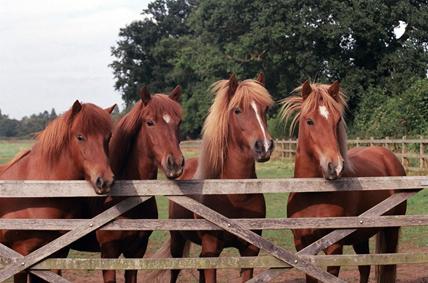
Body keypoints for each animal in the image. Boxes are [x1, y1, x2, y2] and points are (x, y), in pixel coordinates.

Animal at [146, 74, 274, 283]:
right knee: (174, 269)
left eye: (266, 108)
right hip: (177, 240)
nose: (264, 146)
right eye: (237, 110)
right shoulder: (211, 249)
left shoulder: (250, 250)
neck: (236, 197)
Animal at [282, 80, 406, 283]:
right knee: (364, 268)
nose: (334, 166)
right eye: (309, 121)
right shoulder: (302, 245)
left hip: (391, 230)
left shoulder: (334, 246)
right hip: (361, 236)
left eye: (337, 120)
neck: (312, 194)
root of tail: (388, 155)